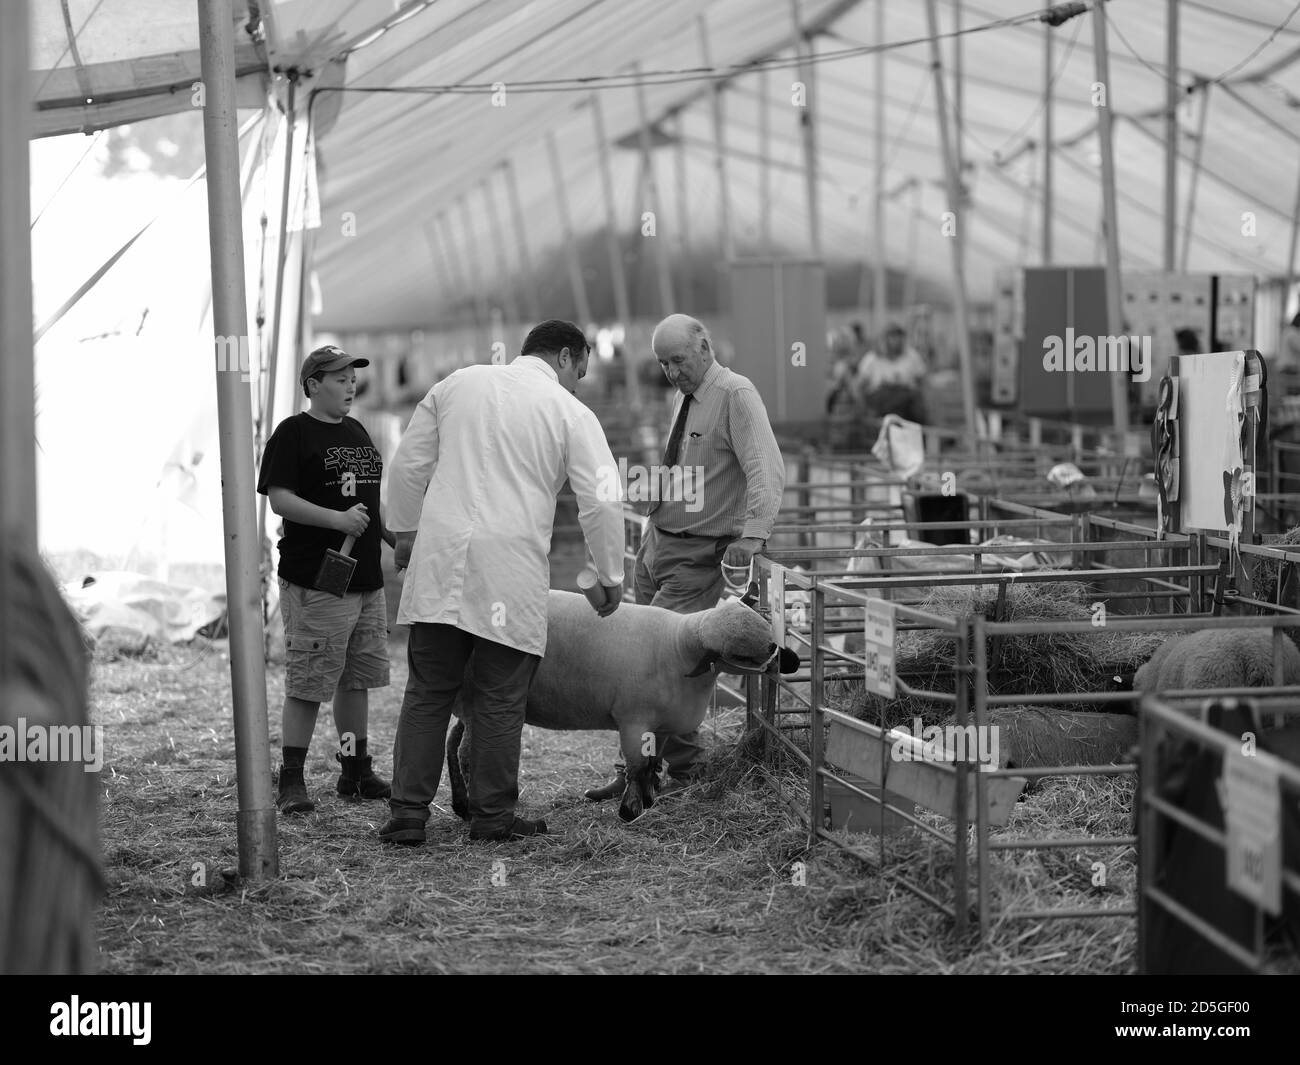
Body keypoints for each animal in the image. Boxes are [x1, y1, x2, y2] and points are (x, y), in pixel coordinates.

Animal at [441, 590, 795, 827]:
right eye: (743, 657)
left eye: (768, 625)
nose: (791, 662)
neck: (679, 646)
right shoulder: (633, 720)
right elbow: (636, 766)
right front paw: (629, 811)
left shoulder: (659, 725)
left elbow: (651, 764)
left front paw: (649, 800)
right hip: (478, 694)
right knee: (465, 753)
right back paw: (473, 810)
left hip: (468, 699)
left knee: (451, 743)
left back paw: (461, 805)